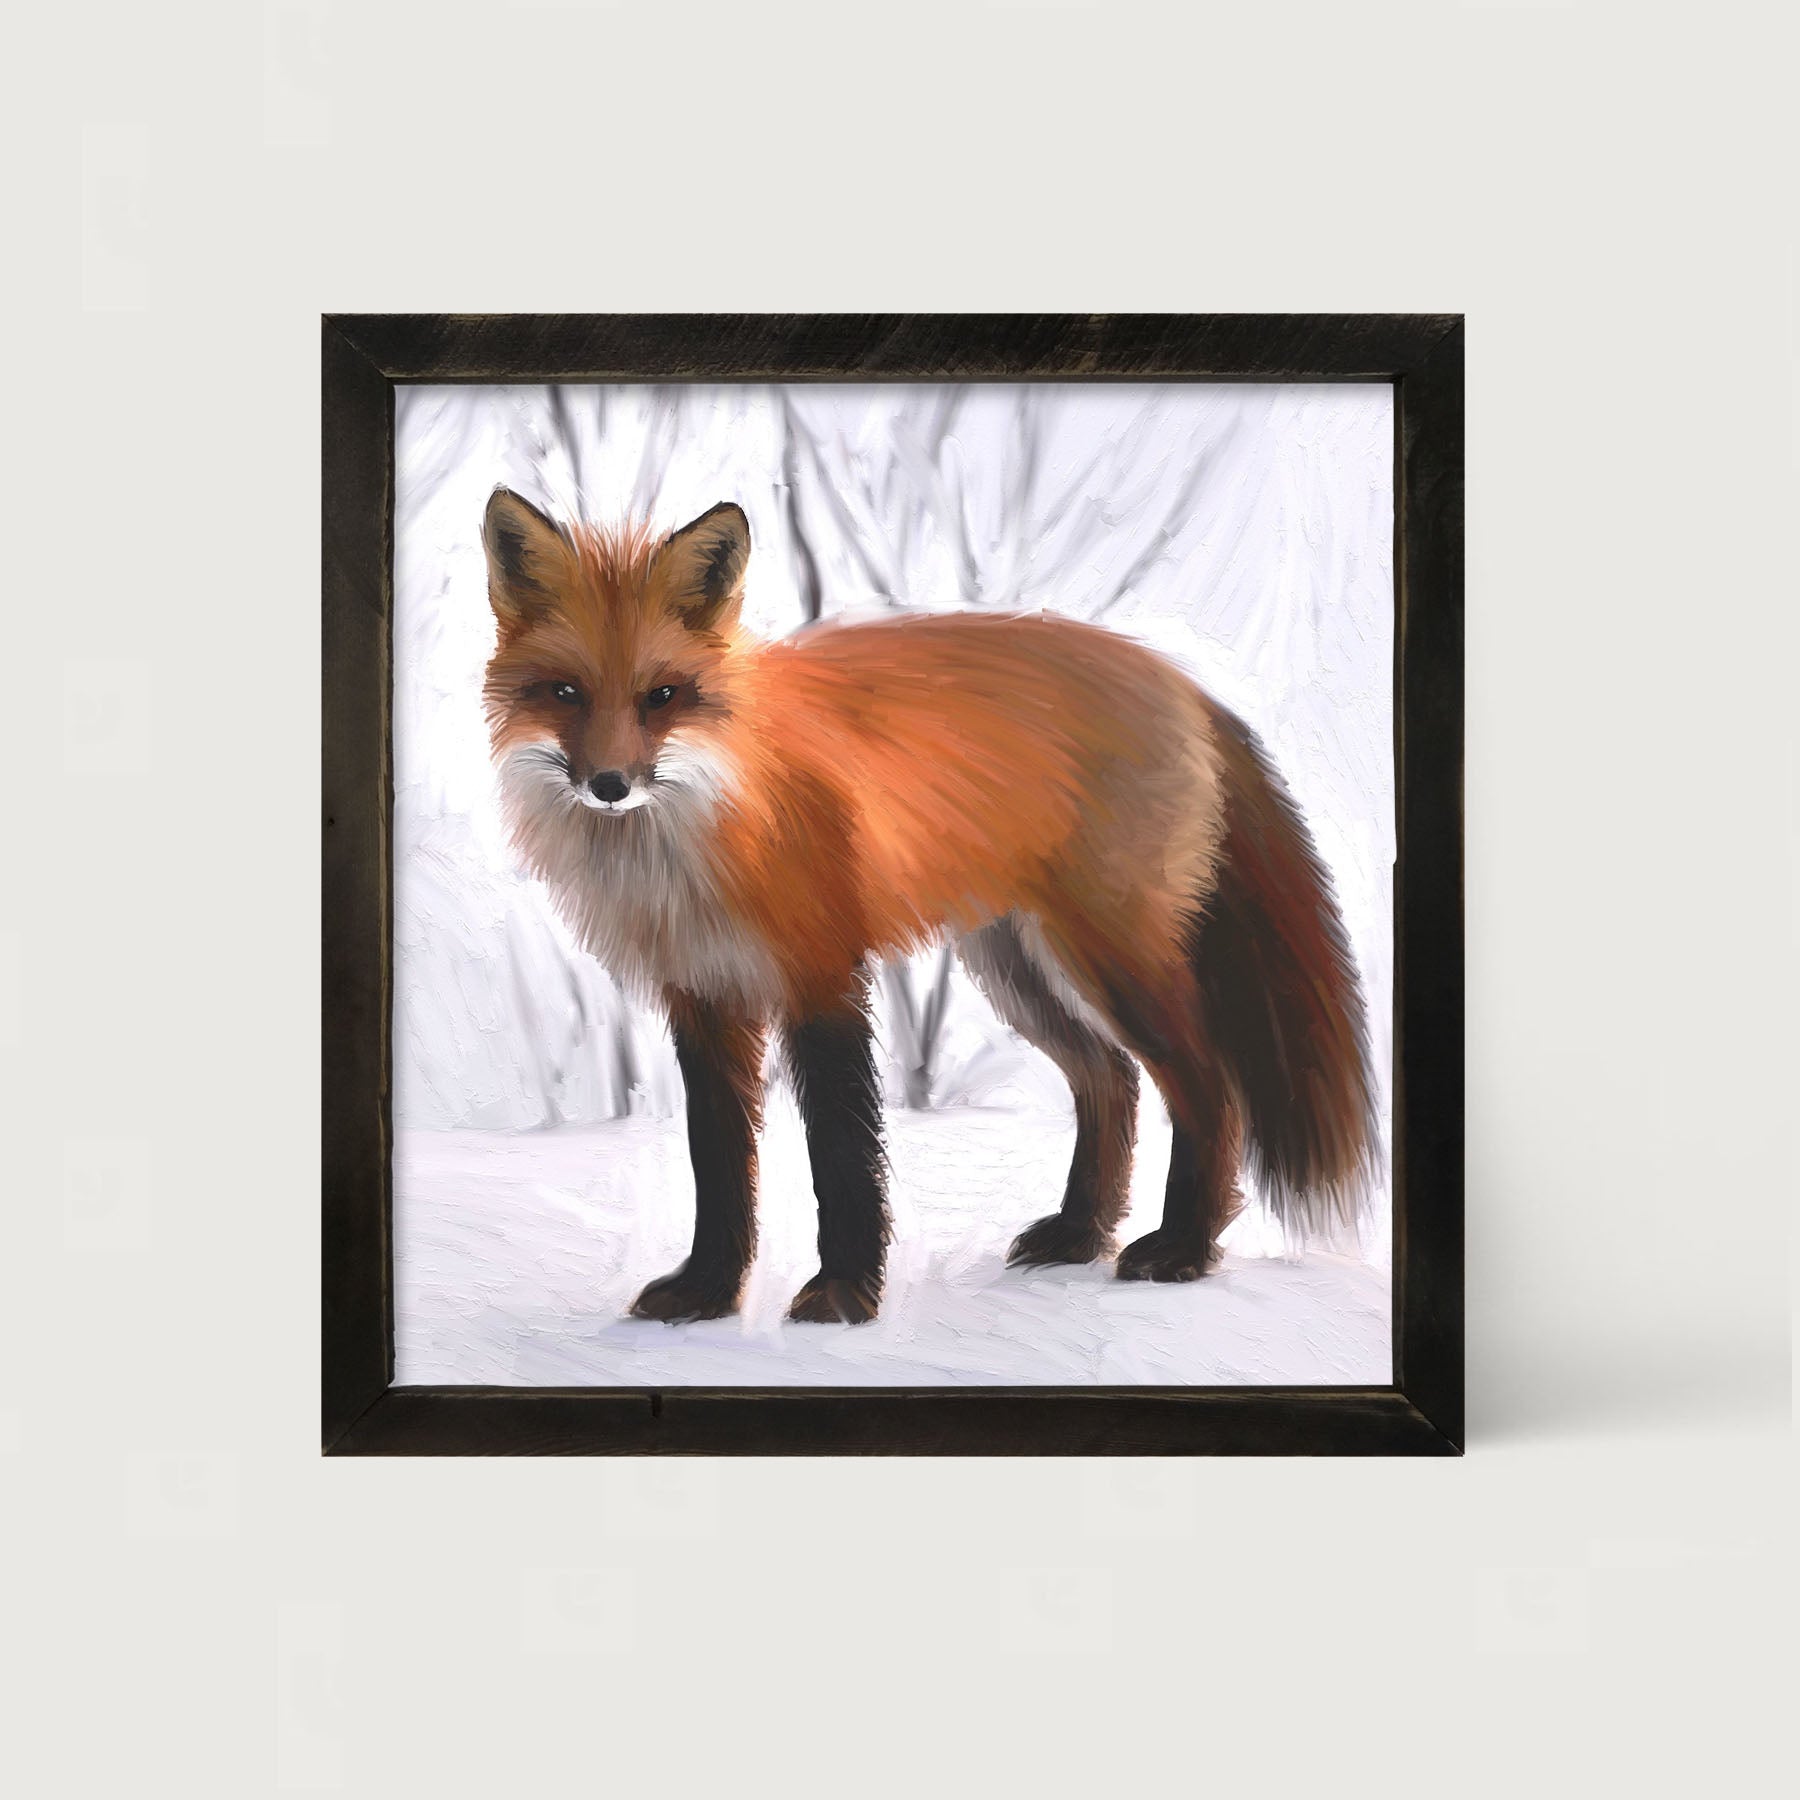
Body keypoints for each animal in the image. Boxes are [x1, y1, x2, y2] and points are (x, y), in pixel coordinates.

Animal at [481, 488, 1376, 1324]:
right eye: (565, 692)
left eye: (663, 696)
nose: (609, 785)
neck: (700, 836)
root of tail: (1179, 679)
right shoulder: (703, 997)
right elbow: (721, 1163)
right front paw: (707, 1291)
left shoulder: (822, 976)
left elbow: (841, 1152)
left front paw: (843, 1295)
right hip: (1016, 969)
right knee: (1109, 1079)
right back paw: (1080, 1234)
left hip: (1113, 960)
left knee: (1207, 1087)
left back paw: (1183, 1249)